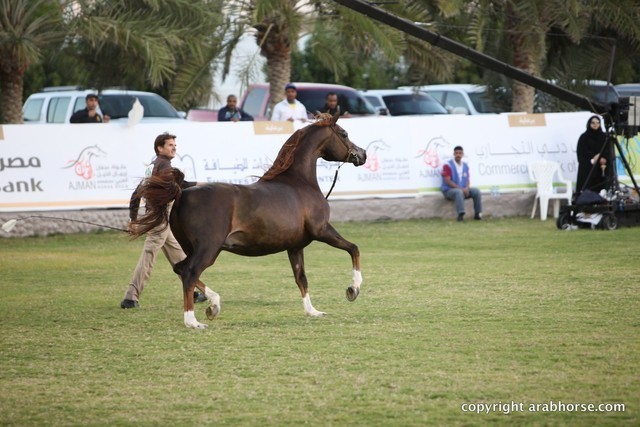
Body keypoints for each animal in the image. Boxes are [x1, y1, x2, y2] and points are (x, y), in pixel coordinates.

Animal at [131, 111, 367, 328]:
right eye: (344, 134)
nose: (362, 154)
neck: (299, 183)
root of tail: (182, 194)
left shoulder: (295, 246)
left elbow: (301, 278)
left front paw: (313, 311)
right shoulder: (322, 230)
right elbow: (354, 249)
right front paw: (353, 289)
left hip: (194, 247)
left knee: (181, 268)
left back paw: (213, 305)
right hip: (209, 248)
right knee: (189, 272)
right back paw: (193, 321)